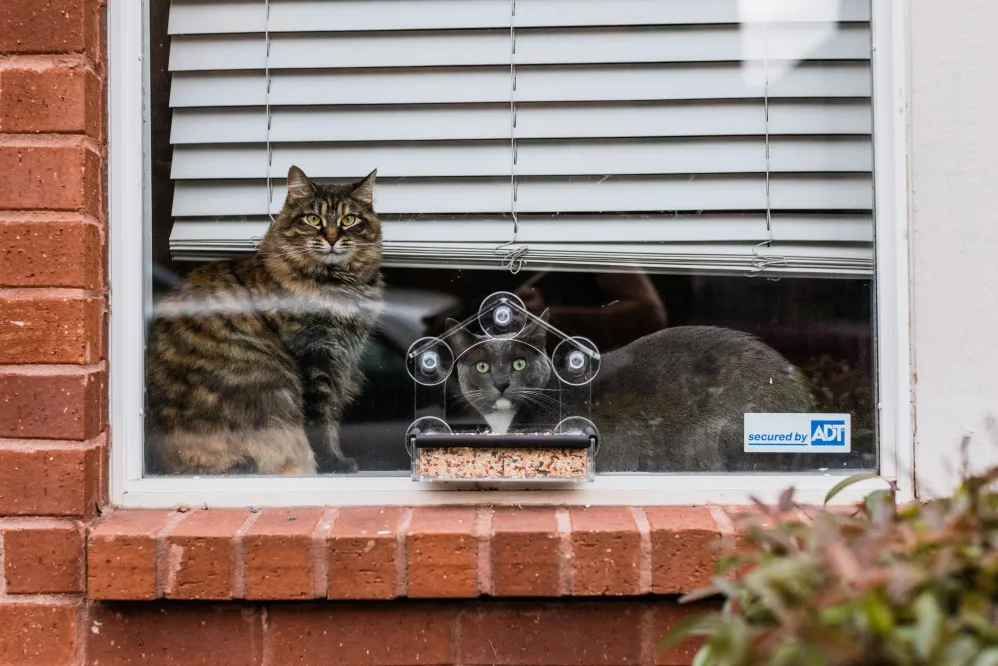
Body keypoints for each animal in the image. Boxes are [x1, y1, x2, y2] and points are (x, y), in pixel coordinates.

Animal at [146, 166, 384, 478]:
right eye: (313, 219)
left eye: (348, 220)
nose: (332, 238)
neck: (338, 285)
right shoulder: (315, 357)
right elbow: (321, 419)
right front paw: (334, 463)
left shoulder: (340, 359)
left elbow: (331, 415)